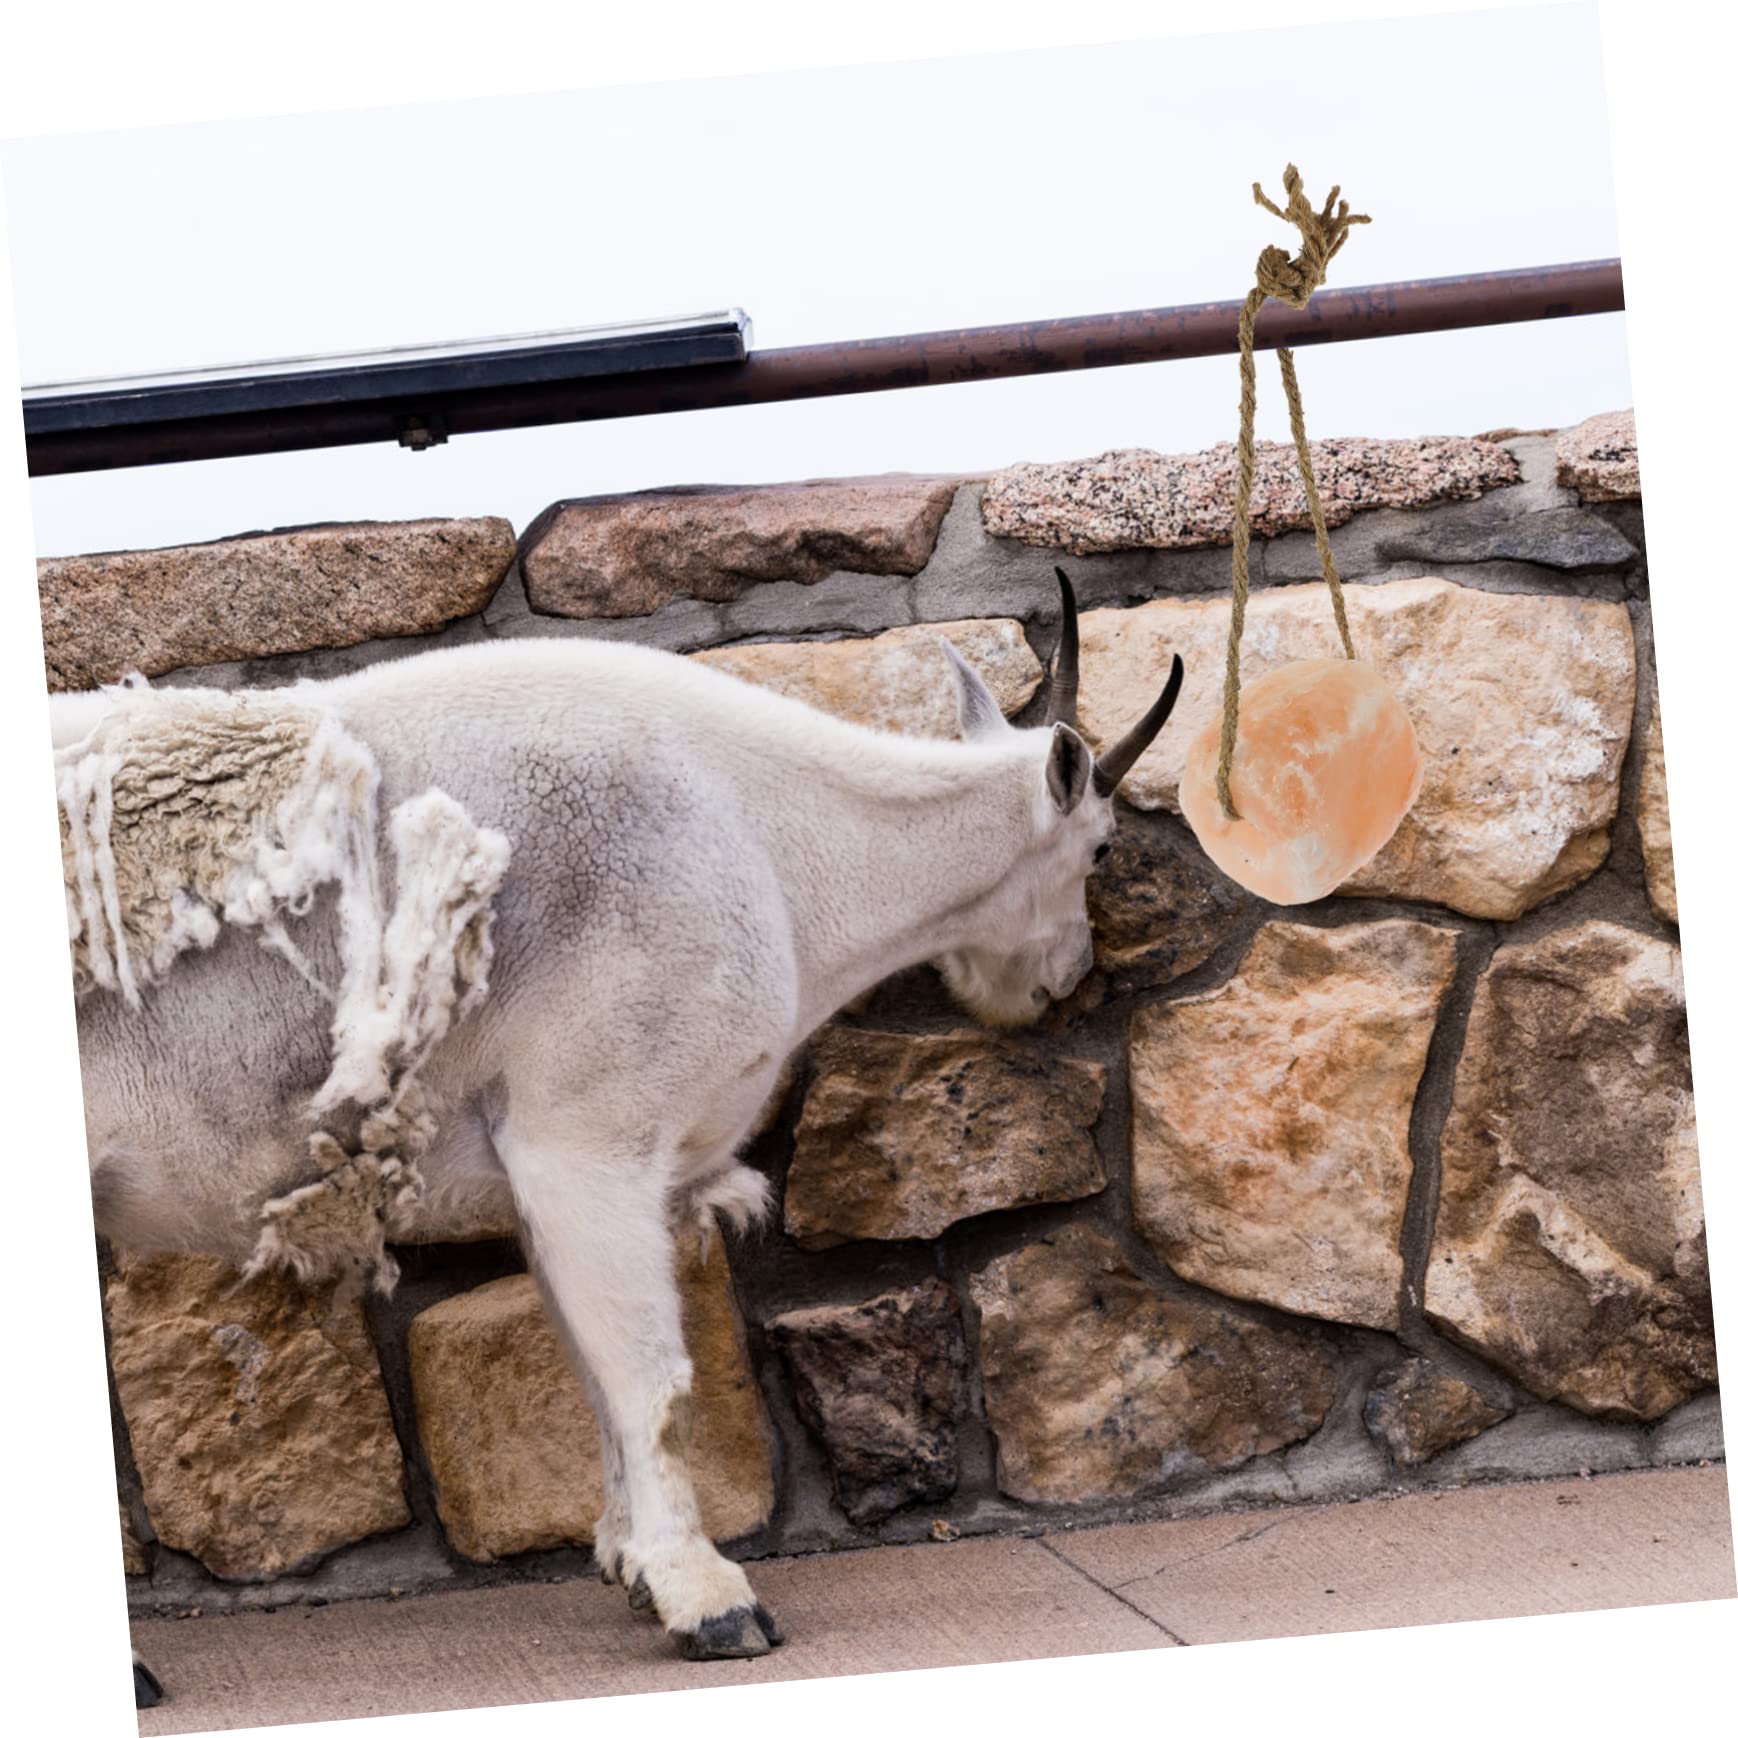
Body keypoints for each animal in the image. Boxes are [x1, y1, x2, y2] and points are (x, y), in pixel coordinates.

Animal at [58, 570, 1181, 1699]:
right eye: (1100, 848)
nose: (1061, 982)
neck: (779, 844)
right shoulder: (592, 1136)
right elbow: (652, 1378)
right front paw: (708, 1598)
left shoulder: (539, 1166)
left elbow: (592, 1372)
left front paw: (632, 1562)